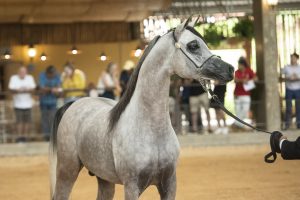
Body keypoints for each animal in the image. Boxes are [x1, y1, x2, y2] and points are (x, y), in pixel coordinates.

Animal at [49, 19, 234, 200]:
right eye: (193, 45)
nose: (230, 69)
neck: (152, 129)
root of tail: (72, 104)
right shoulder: (132, 186)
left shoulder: (170, 183)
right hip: (67, 171)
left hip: (104, 179)